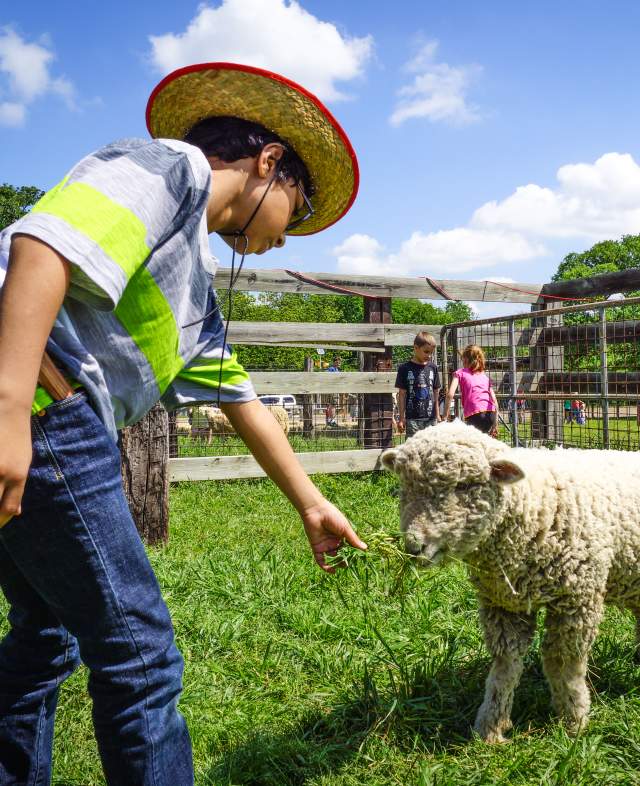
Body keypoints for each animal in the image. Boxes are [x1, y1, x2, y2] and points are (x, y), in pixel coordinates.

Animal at [381, 420, 640, 743]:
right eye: (406, 486)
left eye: (464, 485)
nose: (415, 546)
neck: (533, 503)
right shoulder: (504, 603)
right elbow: (505, 666)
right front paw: (490, 727)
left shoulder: (577, 598)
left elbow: (562, 662)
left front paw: (573, 720)